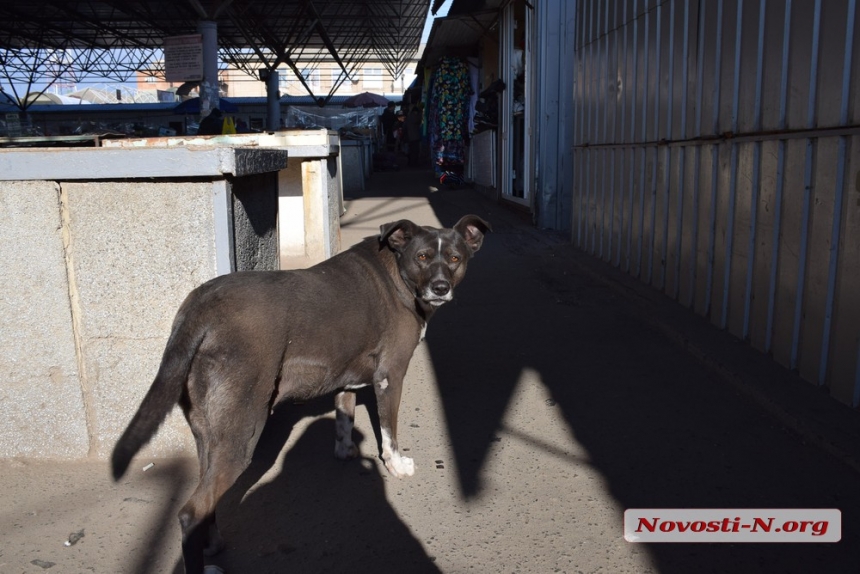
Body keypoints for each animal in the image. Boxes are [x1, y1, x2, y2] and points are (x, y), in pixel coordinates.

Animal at [111, 215, 494, 574]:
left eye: (455, 258)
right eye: (423, 257)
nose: (440, 287)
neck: (397, 274)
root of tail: (199, 306)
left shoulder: (345, 379)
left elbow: (344, 418)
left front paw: (347, 451)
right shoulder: (391, 375)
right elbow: (389, 431)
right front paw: (396, 465)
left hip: (209, 434)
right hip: (241, 434)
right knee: (191, 512)